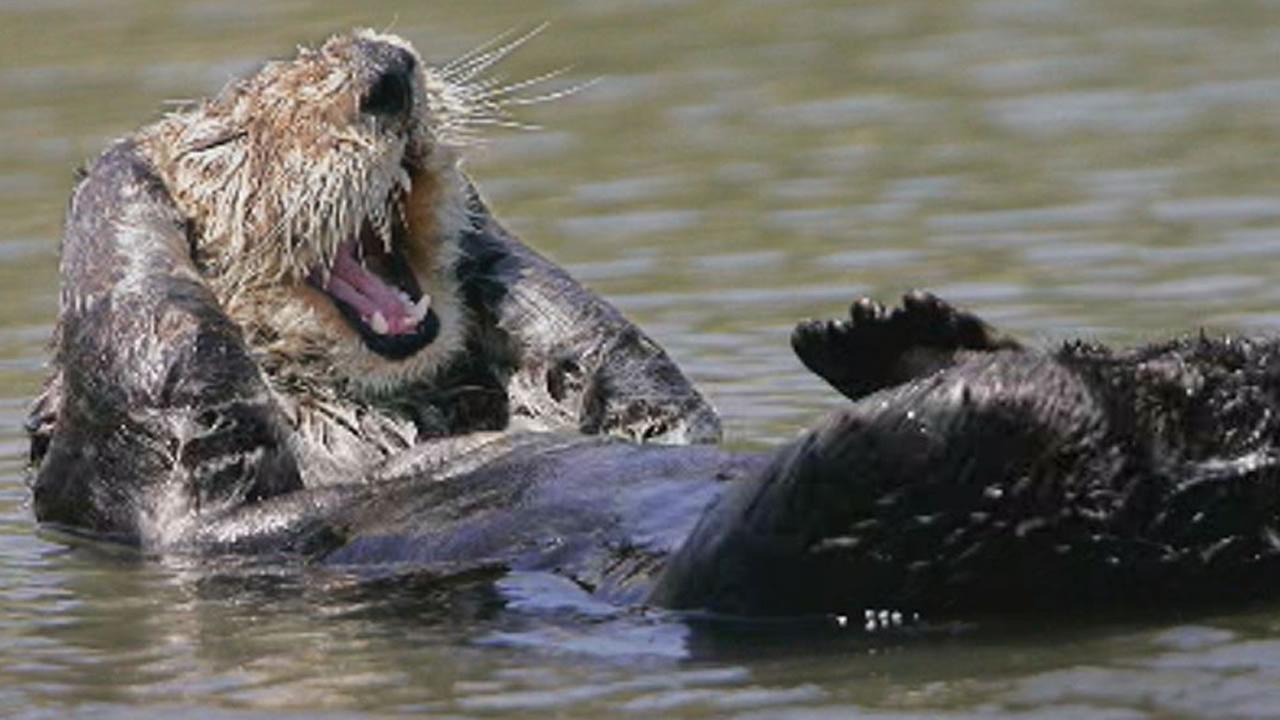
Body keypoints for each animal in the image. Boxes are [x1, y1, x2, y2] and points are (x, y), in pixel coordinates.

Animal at [26, 30, 1280, 617]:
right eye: (233, 139)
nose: (386, 71)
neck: (371, 415)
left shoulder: (627, 401)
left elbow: (625, 379)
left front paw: (481, 230)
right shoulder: (164, 495)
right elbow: (155, 372)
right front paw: (120, 173)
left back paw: (902, 338)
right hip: (847, 533)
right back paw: (958, 377)